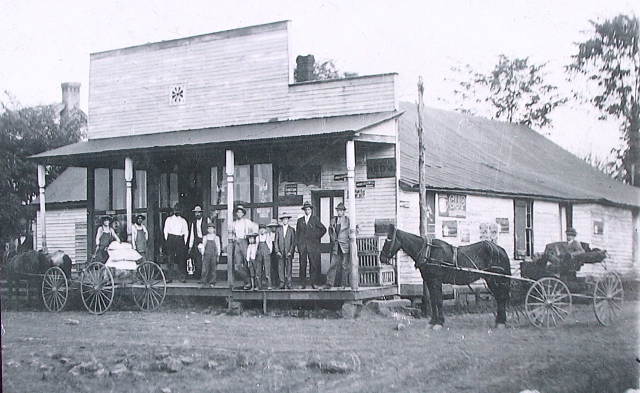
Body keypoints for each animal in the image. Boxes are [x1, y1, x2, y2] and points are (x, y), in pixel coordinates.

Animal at [380, 224, 510, 328]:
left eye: (388, 239)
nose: (381, 258)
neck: (429, 252)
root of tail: (500, 249)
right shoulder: (430, 281)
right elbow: (433, 301)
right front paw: (433, 322)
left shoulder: (436, 281)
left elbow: (438, 301)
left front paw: (439, 323)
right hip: (491, 279)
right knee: (499, 298)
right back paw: (499, 321)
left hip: (494, 279)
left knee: (500, 297)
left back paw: (501, 322)